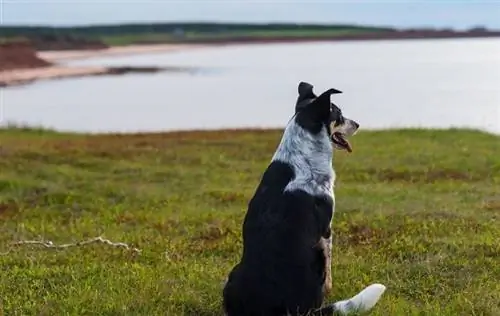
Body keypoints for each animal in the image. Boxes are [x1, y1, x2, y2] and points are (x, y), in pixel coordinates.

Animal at [221, 82, 384, 316]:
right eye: (339, 115)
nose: (358, 124)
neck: (303, 158)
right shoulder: (326, 230)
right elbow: (330, 270)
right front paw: (331, 290)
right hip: (315, 259)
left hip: (232, 276)